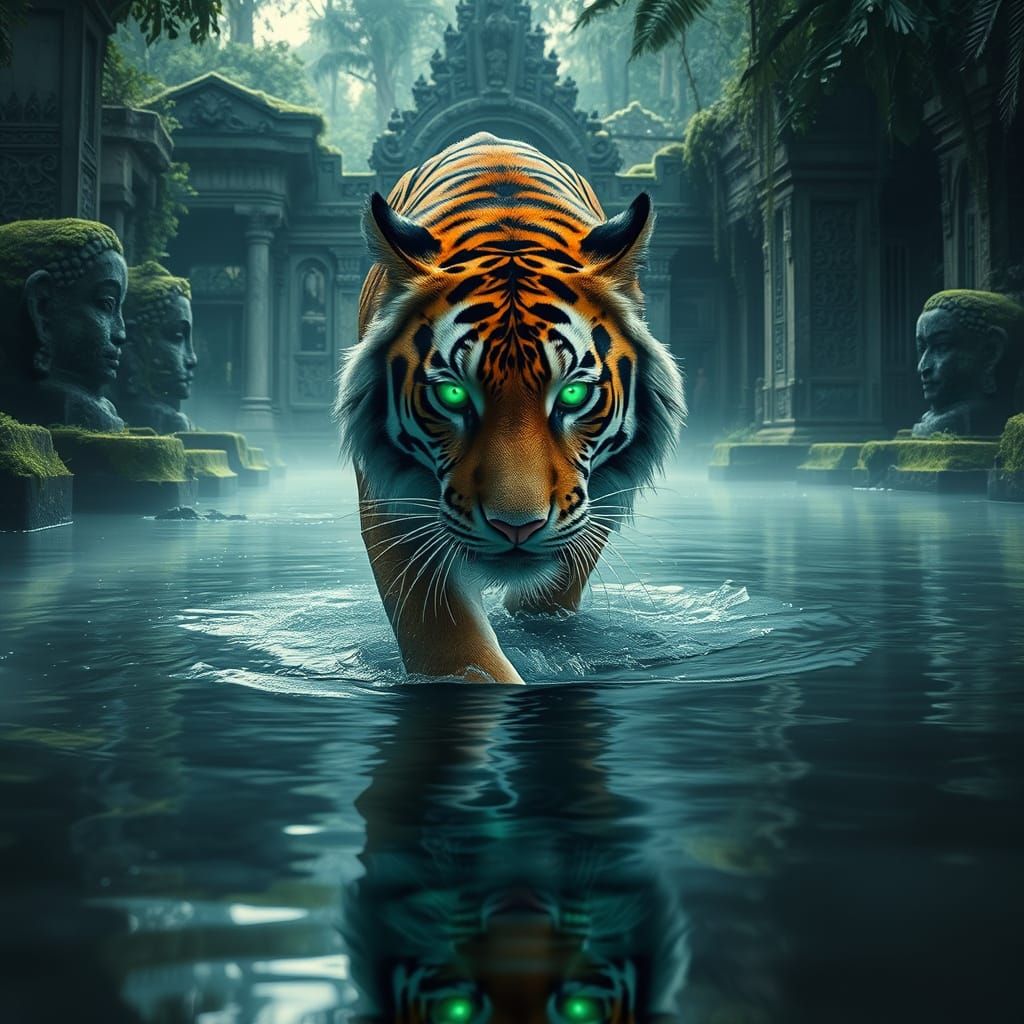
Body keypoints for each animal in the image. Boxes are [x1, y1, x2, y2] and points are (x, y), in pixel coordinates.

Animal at [336, 131, 685, 684]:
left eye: (572, 394)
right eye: (453, 394)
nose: (515, 527)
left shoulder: (600, 495)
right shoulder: (391, 495)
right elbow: (446, 635)